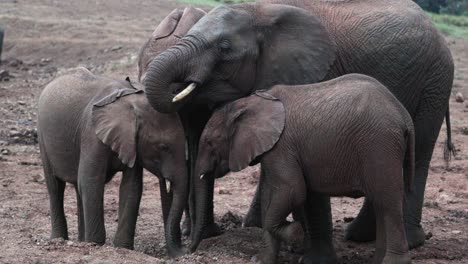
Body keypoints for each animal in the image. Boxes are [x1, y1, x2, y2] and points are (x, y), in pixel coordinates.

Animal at [37, 67, 186, 256]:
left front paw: (122, 247)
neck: (130, 101)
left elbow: (131, 187)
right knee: (55, 186)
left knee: (78, 187)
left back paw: (82, 240)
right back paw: (60, 239)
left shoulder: (131, 144)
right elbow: (91, 181)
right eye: (163, 147)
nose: (184, 252)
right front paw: (96, 244)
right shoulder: (92, 133)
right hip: (42, 138)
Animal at [196, 73, 414, 264]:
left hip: (380, 144)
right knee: (381, 203)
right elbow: (269, 195)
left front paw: (296, 233)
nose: (194, 248)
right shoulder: (271, 150)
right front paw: (261, 260)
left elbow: (292, 190)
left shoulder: (282, 147)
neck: (249, 102)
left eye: (209, 142)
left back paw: (393, 262)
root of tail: (404, 116)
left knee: (388, 201)